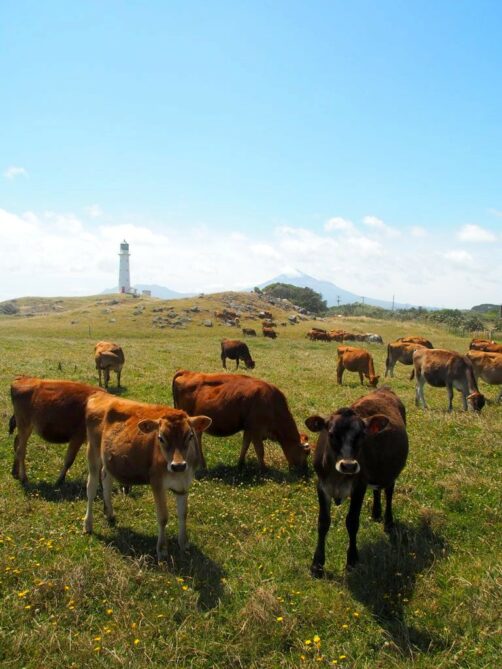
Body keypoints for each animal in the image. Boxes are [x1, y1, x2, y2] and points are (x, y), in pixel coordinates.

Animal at [83, 393, 211, 561]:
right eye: (161, 437)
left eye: (190, 436)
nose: (178, 465)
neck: (178, 473)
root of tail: (101, 395)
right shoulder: (157, 483)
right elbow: (163, 517)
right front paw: (162, 549)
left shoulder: (183, 484)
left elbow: (183, 514)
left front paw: (184, 543)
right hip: (92, 451)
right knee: (91, 488)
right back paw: (88, 524)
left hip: (108, 457)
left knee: (106, 478)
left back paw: (109, 513)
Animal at [172, 370, 310, 471]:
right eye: (306, 453)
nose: (304, 470)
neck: (271, 403)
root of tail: (187, 372)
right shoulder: (256, 429)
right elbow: (260, 450)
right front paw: (264, 470)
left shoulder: (249, 429)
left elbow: (245, 445)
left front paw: (240, 464)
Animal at [306, 387, 408, 574]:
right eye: (331, 434)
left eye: (362, 435)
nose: (349, 465)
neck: (337, 476)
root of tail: (385, 388)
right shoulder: (322, 486)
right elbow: (323, 522)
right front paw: (317, 564)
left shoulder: (359, 486)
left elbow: (352, 521)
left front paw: (352, 559)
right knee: (377, 488)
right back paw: (376, 512)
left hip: (390, 471)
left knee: (388, 491)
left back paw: (388, 521)